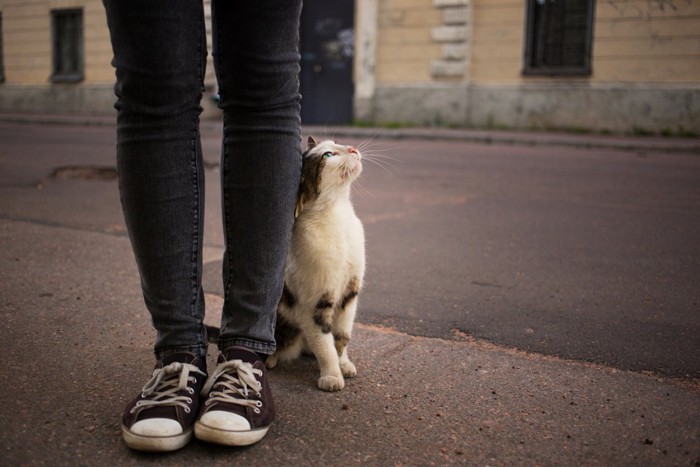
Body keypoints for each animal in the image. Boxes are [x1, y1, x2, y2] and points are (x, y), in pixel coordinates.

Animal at [266, 135, 366, 392]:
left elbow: (342, 336)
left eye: (336, 143)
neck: (338, 215)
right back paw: (270, 358)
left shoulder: (350, 293)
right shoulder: (315, 303)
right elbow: (324, 342)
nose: (353, 148)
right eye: (327, 155)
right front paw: (331, 375)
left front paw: (344, 363)